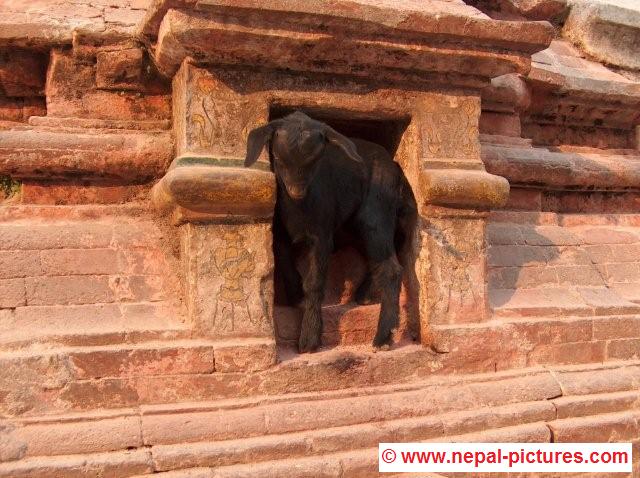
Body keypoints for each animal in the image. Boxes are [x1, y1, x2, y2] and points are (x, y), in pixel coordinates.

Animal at [245, 111, 416, 353]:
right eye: (277, 159)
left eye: (316, 160)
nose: (296, 191)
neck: (299, 207)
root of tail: (395, 166)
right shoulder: (279, 234)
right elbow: (286, 265)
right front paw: (296, 296)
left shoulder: (322, 236)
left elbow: (315, 282)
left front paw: (309, 338)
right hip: (354, 227)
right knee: (377, 260)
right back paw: (363, 295)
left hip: (376, 214)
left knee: (391, 268)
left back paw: (382, 337)